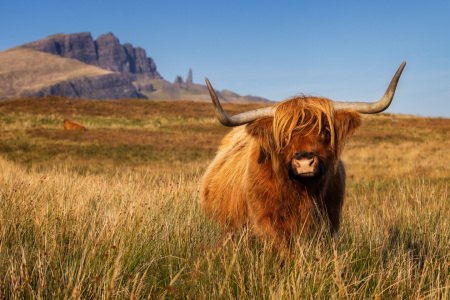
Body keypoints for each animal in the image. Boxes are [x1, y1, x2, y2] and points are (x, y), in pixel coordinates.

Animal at [202, 61, 406, 248]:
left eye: (326, 131)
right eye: (283, 136)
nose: (305, 162)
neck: (303, 193)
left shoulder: (330, 222)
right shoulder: (267, 223)